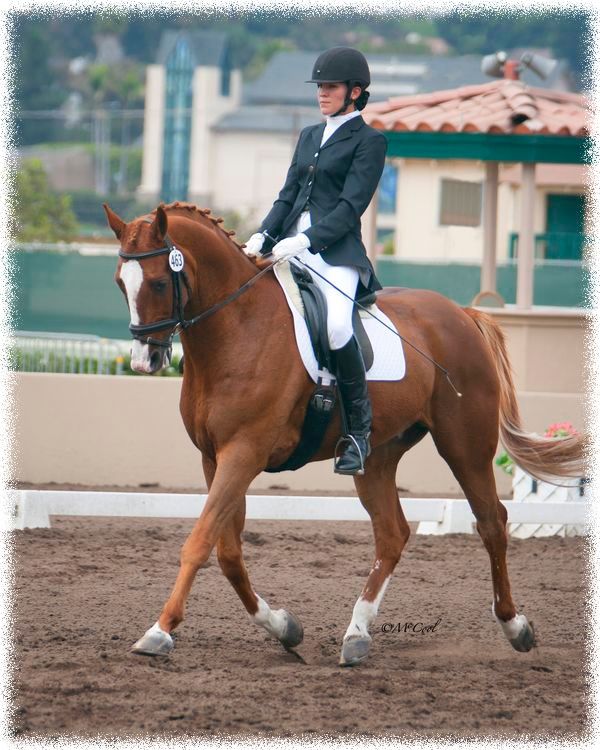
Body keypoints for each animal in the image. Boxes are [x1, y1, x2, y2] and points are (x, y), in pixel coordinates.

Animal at [105, 203, 584, 668]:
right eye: (121, 283)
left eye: (159, 283)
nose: (144, 361)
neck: (239, 326)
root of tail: (461, 314)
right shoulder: (214, 457)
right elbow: (228, 553)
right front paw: (284, 627)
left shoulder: (243, 453)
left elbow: (200, 542)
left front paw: (159, 631)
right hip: (377, 456)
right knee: (392, 533)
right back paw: (357, 636)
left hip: (464, 447)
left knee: (491, 523)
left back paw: (515, 626)